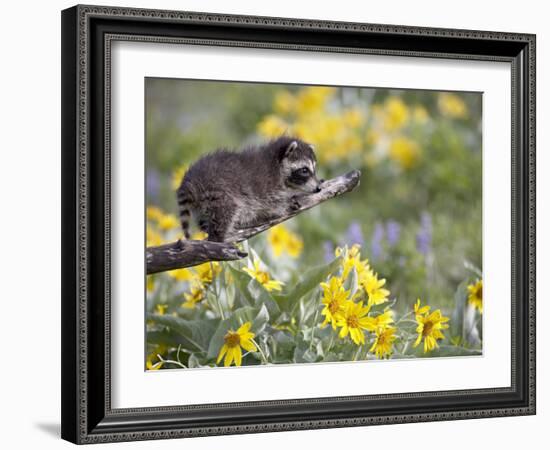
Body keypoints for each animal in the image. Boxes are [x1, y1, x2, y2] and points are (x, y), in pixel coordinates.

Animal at [177, 136, 324, 243]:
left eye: (314, 169)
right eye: (304, 170)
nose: (317, 189)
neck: (276, 163)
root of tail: (190, 181)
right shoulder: (267, 187)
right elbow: (273, 206)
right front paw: (289, 200)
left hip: (200, 204)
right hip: (218, 190)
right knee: (228, 209)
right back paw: (219, 237)